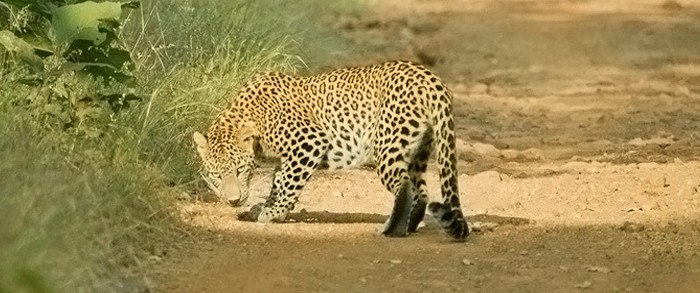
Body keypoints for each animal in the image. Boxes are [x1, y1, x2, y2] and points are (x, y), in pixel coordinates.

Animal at [191, 60, 470, 240]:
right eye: (216, 176)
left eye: (240, 170)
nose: (233, 200)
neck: (248, 115)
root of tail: (430, 78)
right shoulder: (286, 156)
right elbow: (279, 181)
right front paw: (265, 207)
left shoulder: (309, 141)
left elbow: (289, 182)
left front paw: (274, 213)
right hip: (419, 148)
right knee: (420, 189)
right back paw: (411, 225)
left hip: (389, 142)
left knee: (404, 186)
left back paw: (391, 230)